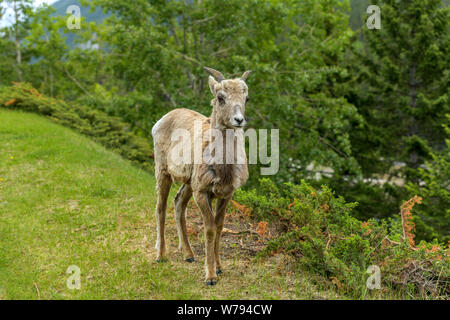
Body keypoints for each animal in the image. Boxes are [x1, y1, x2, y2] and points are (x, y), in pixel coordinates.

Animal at [152, 67, 251, 284]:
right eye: (220, 97)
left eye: (246, 98)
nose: (239, 120)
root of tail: (162, 120)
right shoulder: (202, 192)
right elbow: (210, 228)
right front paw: (211, 276)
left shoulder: (226, 194)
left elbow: (220, 227)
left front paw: (220, 268)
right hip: (163, 173)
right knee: (161, 208)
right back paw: (161, 256)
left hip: (188, 184)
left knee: (178, 204)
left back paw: (188, 255)